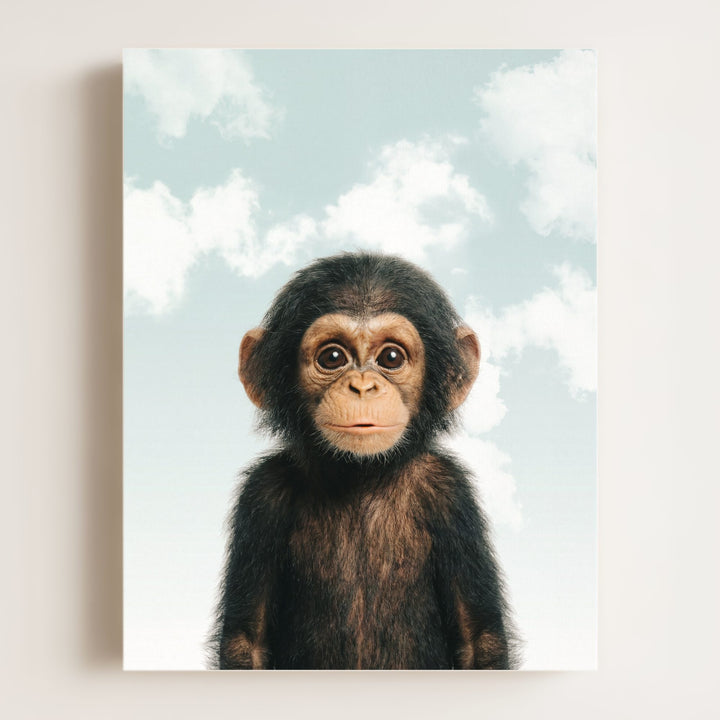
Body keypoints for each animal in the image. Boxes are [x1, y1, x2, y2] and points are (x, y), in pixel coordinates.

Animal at [211, 252, 519, 670]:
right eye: (332, 357)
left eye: (391, 357)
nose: (362, 386)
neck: (361, 476)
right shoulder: (261, 494)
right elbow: (247, 641)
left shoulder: (451, 493)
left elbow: (479, 640)